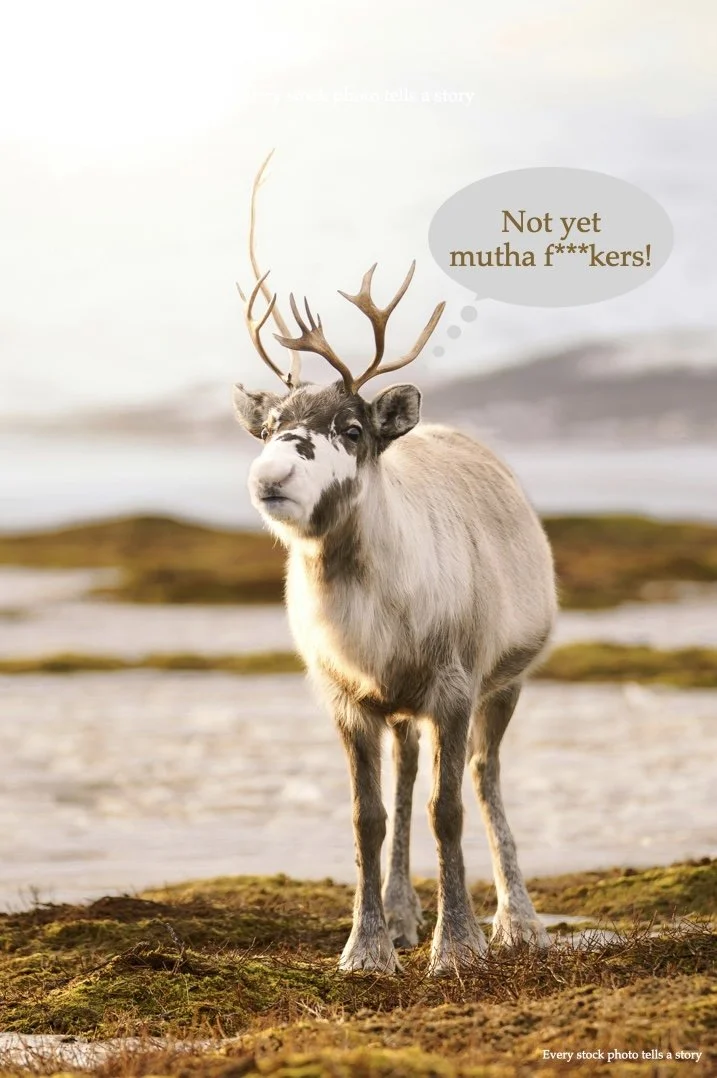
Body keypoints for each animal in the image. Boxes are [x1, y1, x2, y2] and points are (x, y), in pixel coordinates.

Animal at [232, 154, 557, 975]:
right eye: (273, 427)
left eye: (351, 428)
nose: (268, 477)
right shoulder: (348, 697)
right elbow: (368, 816)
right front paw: (367, 948)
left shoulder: (454, 684)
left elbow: (449, 810)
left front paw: (458, 946)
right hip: (401, 710)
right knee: (407, 777)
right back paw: (407, 916)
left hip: (504, 682)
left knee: (482, 779)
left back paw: (518, 921)